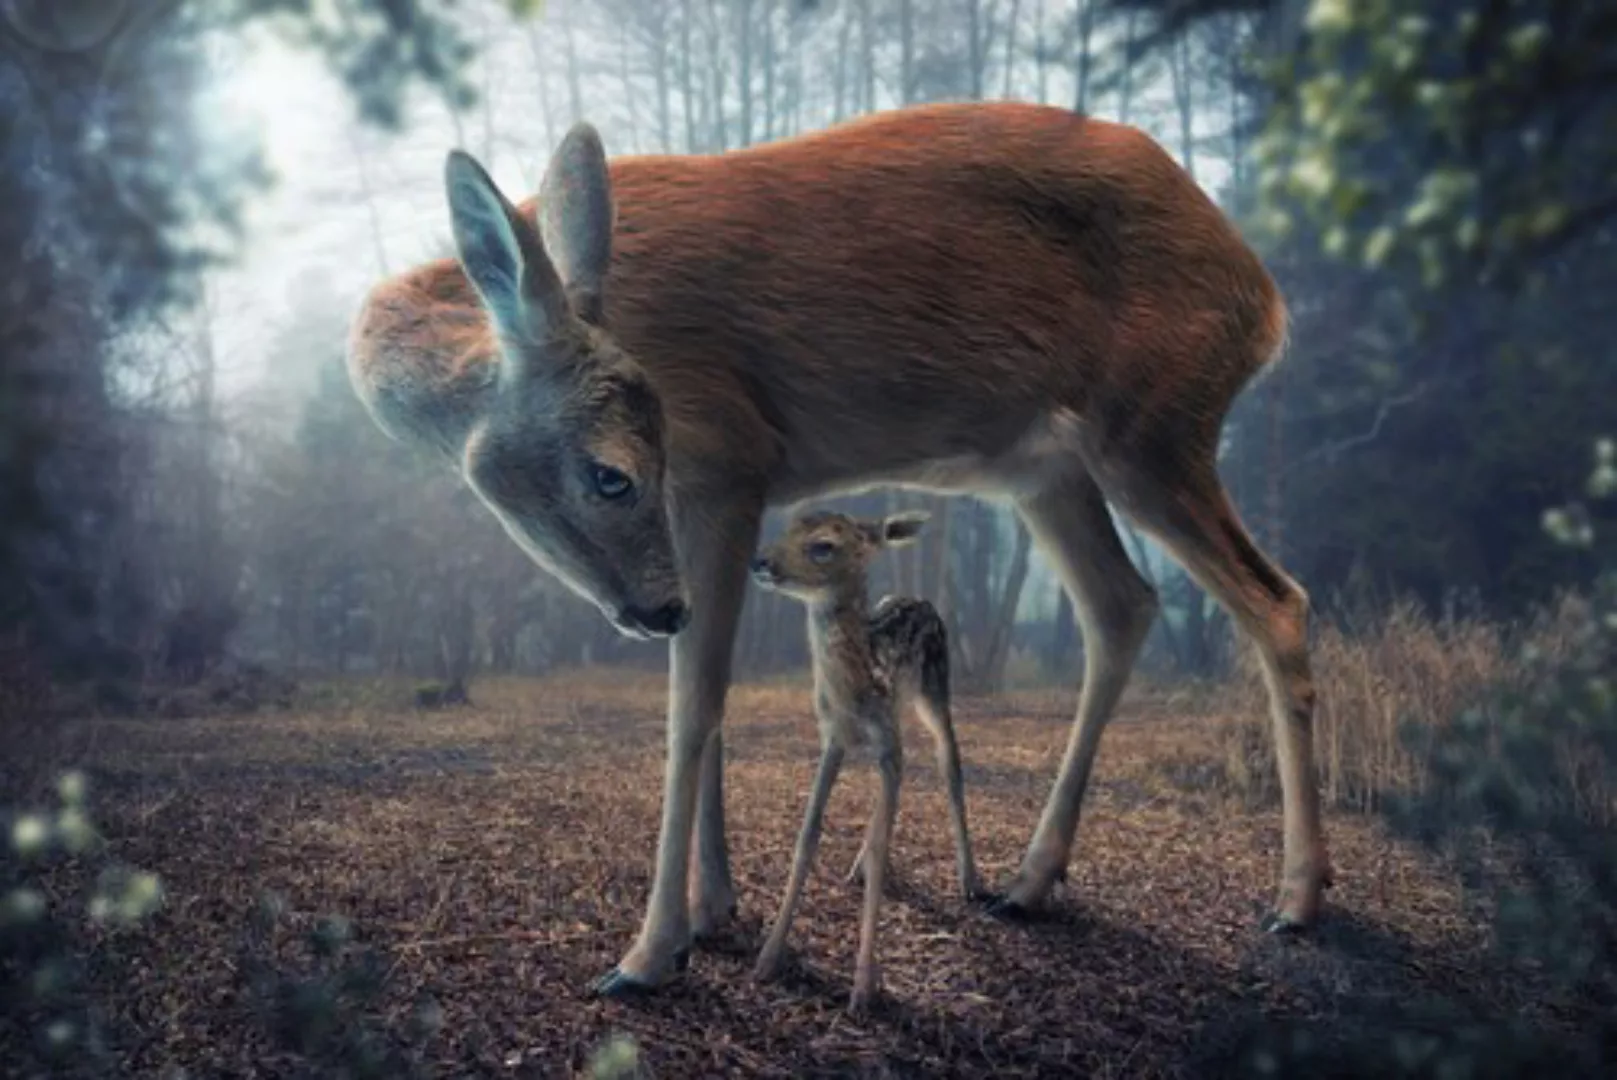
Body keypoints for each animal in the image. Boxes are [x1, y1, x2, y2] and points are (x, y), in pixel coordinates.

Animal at [743, 507, 983, 1015]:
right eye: (789, 525)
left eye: (823, 545)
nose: (760, 562)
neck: (854, 691)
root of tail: (920, 599)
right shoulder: (832, 739)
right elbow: (808, 834)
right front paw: (768, 957)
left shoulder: (888, 745)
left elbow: (882, 843)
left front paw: (864, 987)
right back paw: (856, 868)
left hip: (935, 691)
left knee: (950, 765)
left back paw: (970, 879)